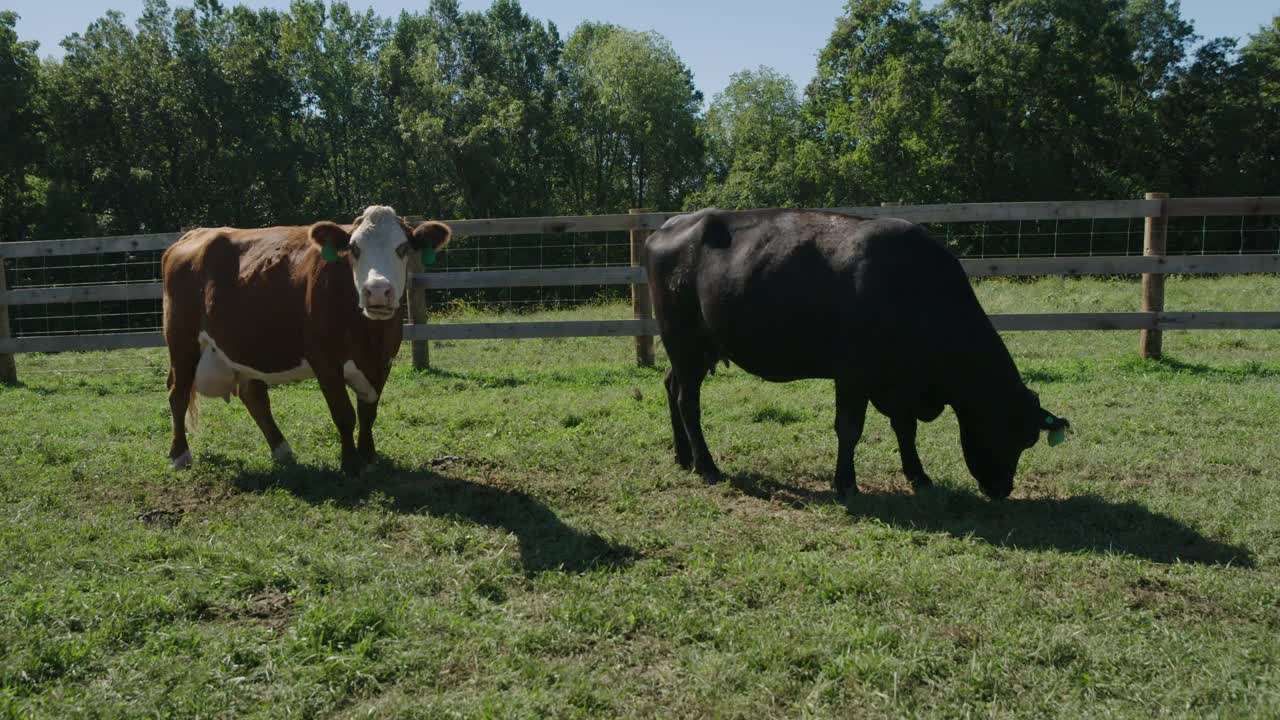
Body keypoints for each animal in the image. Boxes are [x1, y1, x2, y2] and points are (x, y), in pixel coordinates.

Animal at [160, 204, 453, 474]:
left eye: (402, 248)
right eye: (354, 248)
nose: (377, 291)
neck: (370, 335)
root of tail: (194, 235)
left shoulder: (383, 360)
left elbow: (368, 412)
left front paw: (369, 456)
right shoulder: (325, 360)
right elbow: (344, 413)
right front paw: (350, 463)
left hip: (244, 349)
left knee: (253, 396)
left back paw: (283, 451)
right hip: (182, 341)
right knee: (178, 394)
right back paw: (180, 455)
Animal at [640, 207, 1070, 499]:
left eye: (1029, 440)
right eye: (1011, 433)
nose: (1002, 488)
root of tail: (667, 227)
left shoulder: (897, 382)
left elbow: (905, 429)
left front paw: (918, 475)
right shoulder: (853, 374)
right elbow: (849, 428)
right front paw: (845, 482)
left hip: (692, 352)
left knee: (671, 388)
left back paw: (683, 456)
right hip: (685, 344)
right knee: (688, 401)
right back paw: (706, 464)